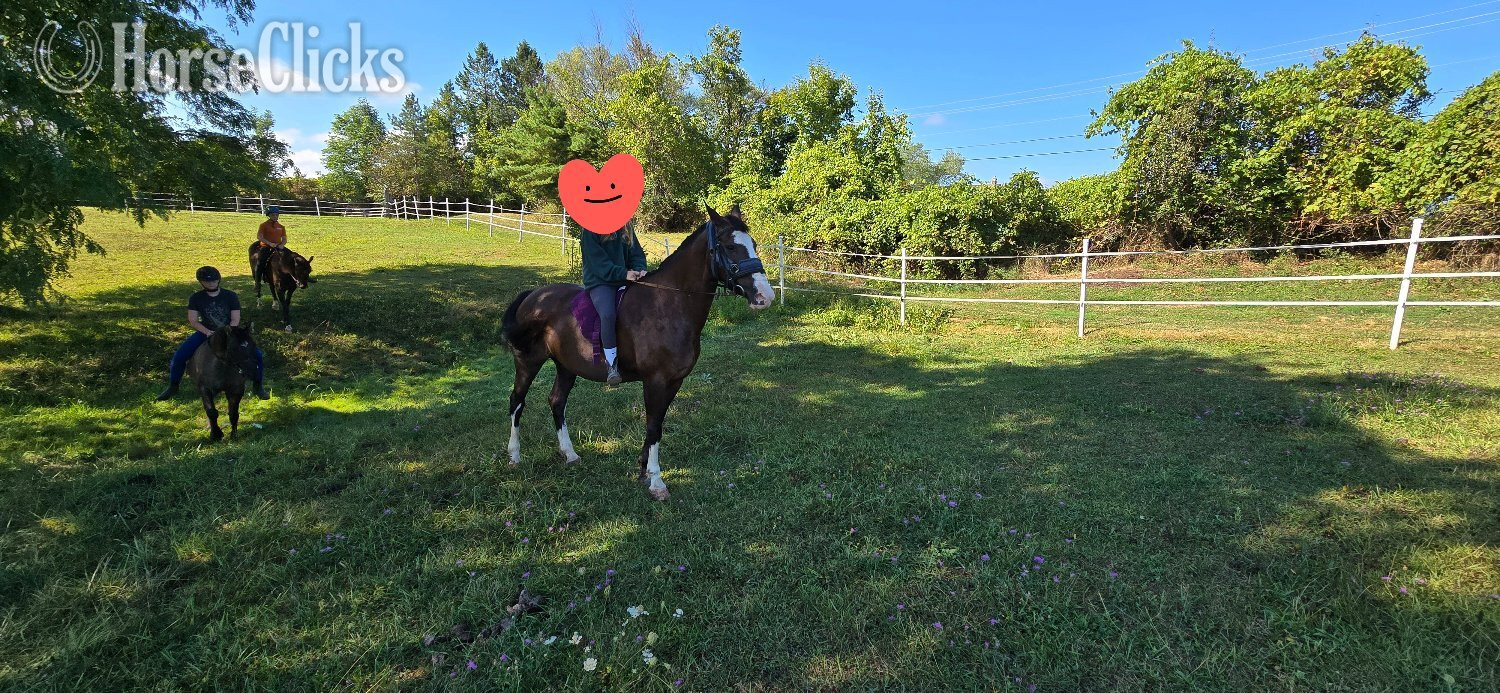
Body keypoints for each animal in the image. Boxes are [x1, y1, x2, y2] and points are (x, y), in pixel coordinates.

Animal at [499, 205, 774, 500]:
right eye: (731, 247)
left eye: (753, 244)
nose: (765, 296)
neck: (668, 304)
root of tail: (533, 295)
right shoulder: (655, 380)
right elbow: (653, 426)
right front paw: (656, 481)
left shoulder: (674, 381)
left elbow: (658, 423)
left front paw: (643, 470)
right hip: (528, 361)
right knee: (517, 401)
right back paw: (514, 456)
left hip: (566, 366)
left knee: (557, 401)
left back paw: (570, 454)